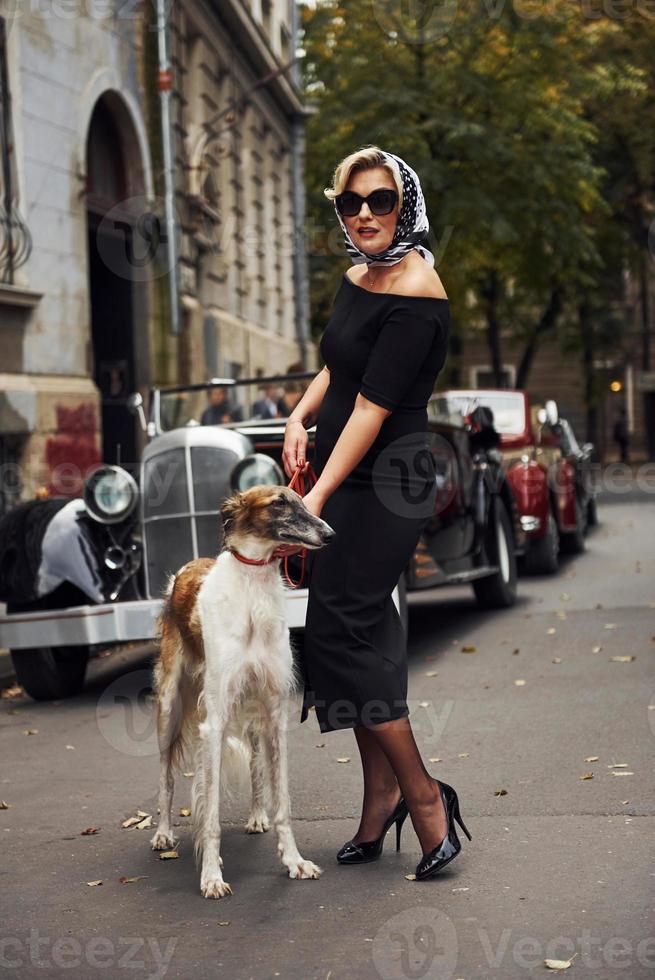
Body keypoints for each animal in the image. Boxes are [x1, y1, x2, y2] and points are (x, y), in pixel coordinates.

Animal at [149, 478, 334, 900]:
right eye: (279, 504)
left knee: (254, 765)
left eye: (303, 502)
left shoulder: (275, 711)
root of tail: (185, 569)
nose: (329, 534)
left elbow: (281, 799)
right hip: (170, 706)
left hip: (251, 710)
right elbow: (211, 814)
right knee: (166, 775)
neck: (253, 593)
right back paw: (164, 834)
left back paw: (256, 815)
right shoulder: (214, 720)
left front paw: (294, 861)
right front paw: (211, 877)